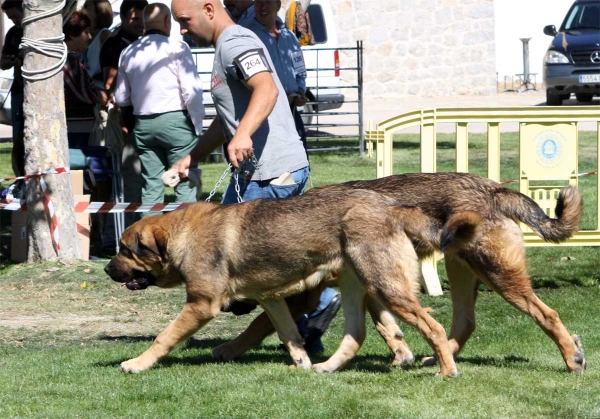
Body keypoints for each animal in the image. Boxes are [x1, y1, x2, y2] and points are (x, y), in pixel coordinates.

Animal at [105, 190, 458, 378]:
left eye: (124, 249)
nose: (107, 268)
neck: (185, 235)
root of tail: (392, 206)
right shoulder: (271, 299)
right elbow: (287, 334)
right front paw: (301, 362)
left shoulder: (201, 304)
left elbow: (164, 337)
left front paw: (137, 364)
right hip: (357, 287)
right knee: (356, 335)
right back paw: (326, 367)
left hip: (386, 287)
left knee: (434, 327)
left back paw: (445, 370)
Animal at [212, 172, 584, 376]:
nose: (227, 304)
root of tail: (494, 189)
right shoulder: (370, 286)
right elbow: (386, 326)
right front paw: (400, 355)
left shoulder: (306, 295)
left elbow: (260, 323)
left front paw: (229, 348)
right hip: (461, 270)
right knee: (464, 322)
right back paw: (439, 358)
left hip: (498, 274)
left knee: (547, 314)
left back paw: (572, 359)